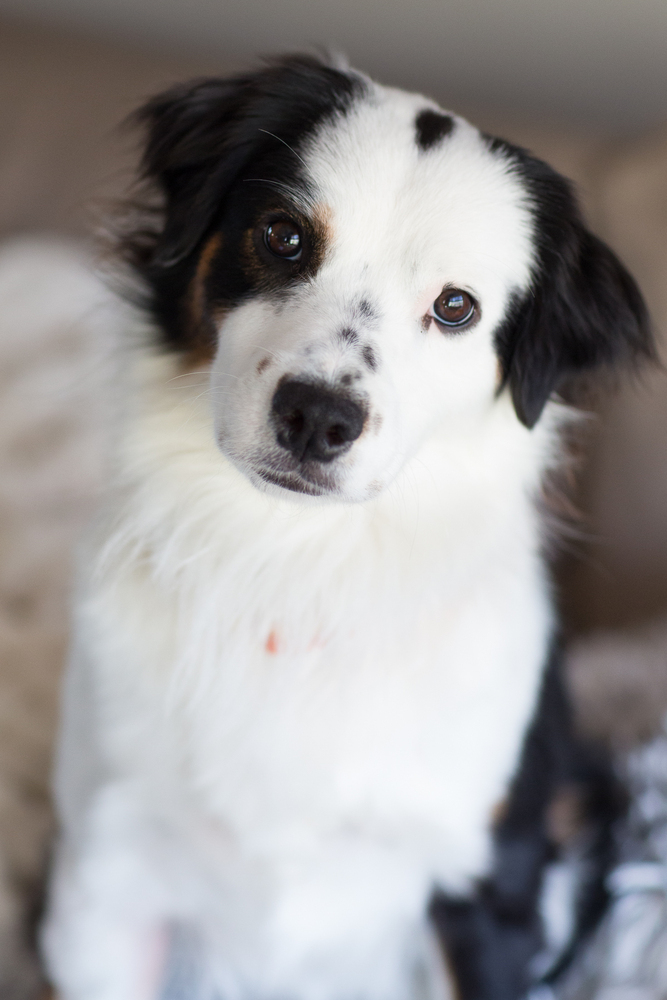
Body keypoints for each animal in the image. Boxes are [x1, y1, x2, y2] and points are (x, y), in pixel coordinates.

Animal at [40, 56, 652, 1000]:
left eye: (455, 306)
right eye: (284, 236)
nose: (318, 418)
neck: (296, 568)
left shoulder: (483, 886)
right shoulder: (106, 876)